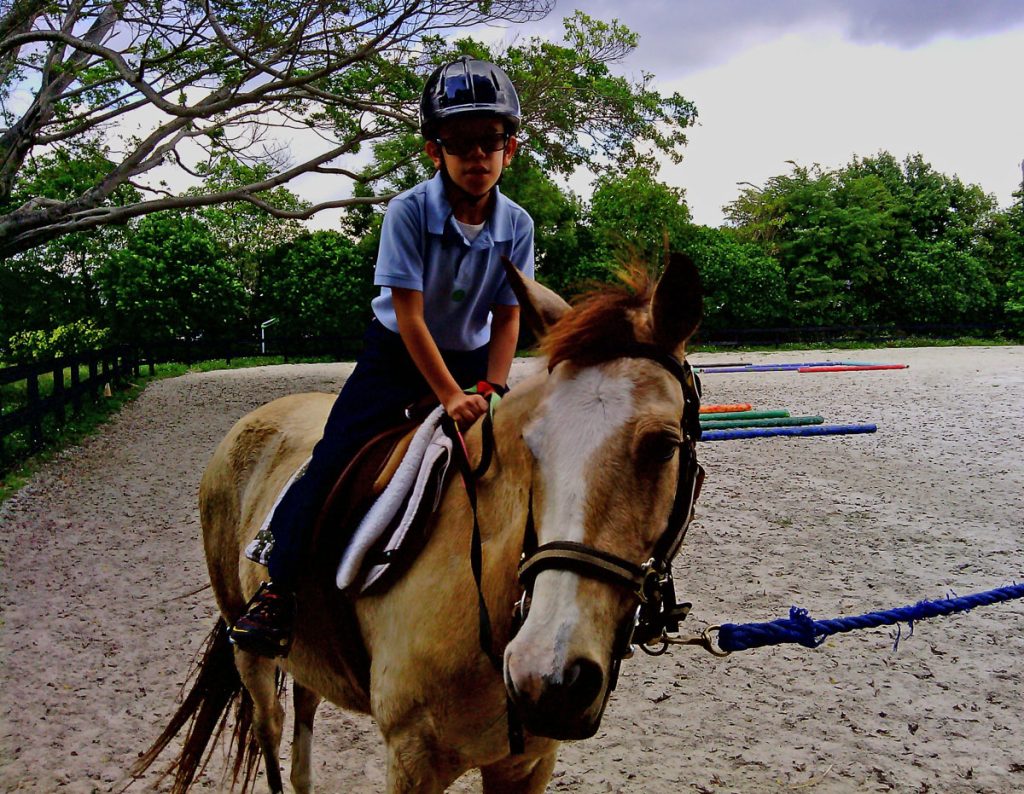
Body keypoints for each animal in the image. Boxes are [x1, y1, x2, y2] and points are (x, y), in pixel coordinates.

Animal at [132, 252, 704, 793]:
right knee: (268, 730)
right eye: (531, 445)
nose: (549, 677)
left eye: (663, 446)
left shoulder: (528, 765)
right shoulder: (413, 760)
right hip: (249, 650)